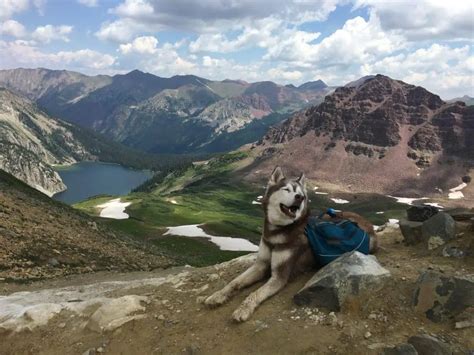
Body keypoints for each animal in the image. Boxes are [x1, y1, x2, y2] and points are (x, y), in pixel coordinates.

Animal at [204, 167, 378, 322]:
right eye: (286, 189)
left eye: (300, 193)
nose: (299, 197)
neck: (276, 233)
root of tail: (368, 225)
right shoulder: (260, 265)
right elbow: (235, 282)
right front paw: (217, 295)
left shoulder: (279, 276)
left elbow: (255, 293)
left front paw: (243, 309)